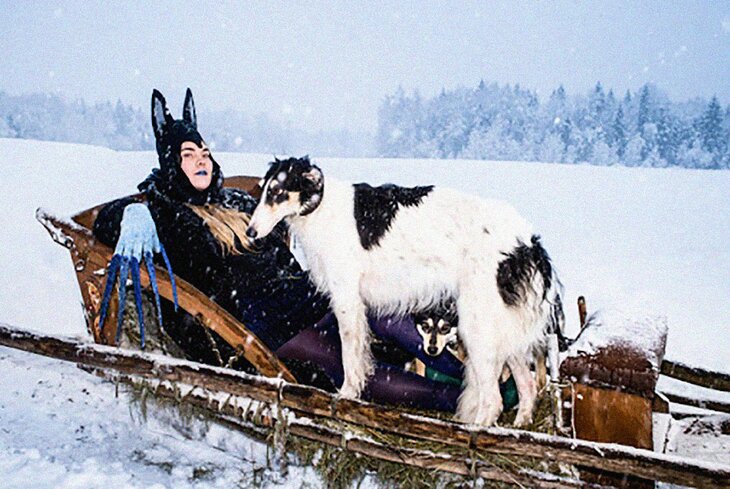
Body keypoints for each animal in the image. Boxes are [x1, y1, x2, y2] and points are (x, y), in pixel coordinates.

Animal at [246, 156, 564, 424]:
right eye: (263, 191)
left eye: (277, 192)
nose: (250, 233)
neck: (321, 208)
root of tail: (528, 243)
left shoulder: (347, 298)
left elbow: (349, 358)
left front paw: (346, 395)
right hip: (503, 332)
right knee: (526, 387)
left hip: (478, 328)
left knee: (493, 399)